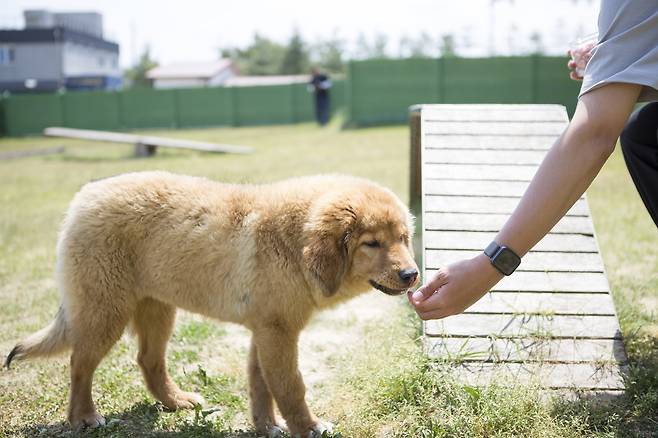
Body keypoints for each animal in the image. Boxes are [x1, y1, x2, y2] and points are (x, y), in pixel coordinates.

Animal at [5, 173, 416, 436]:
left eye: (403, 238)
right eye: (372, 243)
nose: (412, 275)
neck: (292, 242)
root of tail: (83, 199)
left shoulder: (265, 330)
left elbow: (260, 384)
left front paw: (267, 427)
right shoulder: (279, 332)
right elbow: (290, 386)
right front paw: (308, 428)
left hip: (156, 307)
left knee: (148, 360)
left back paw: (176, 402)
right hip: (105, 308)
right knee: (79, 363)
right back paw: (84, 418)